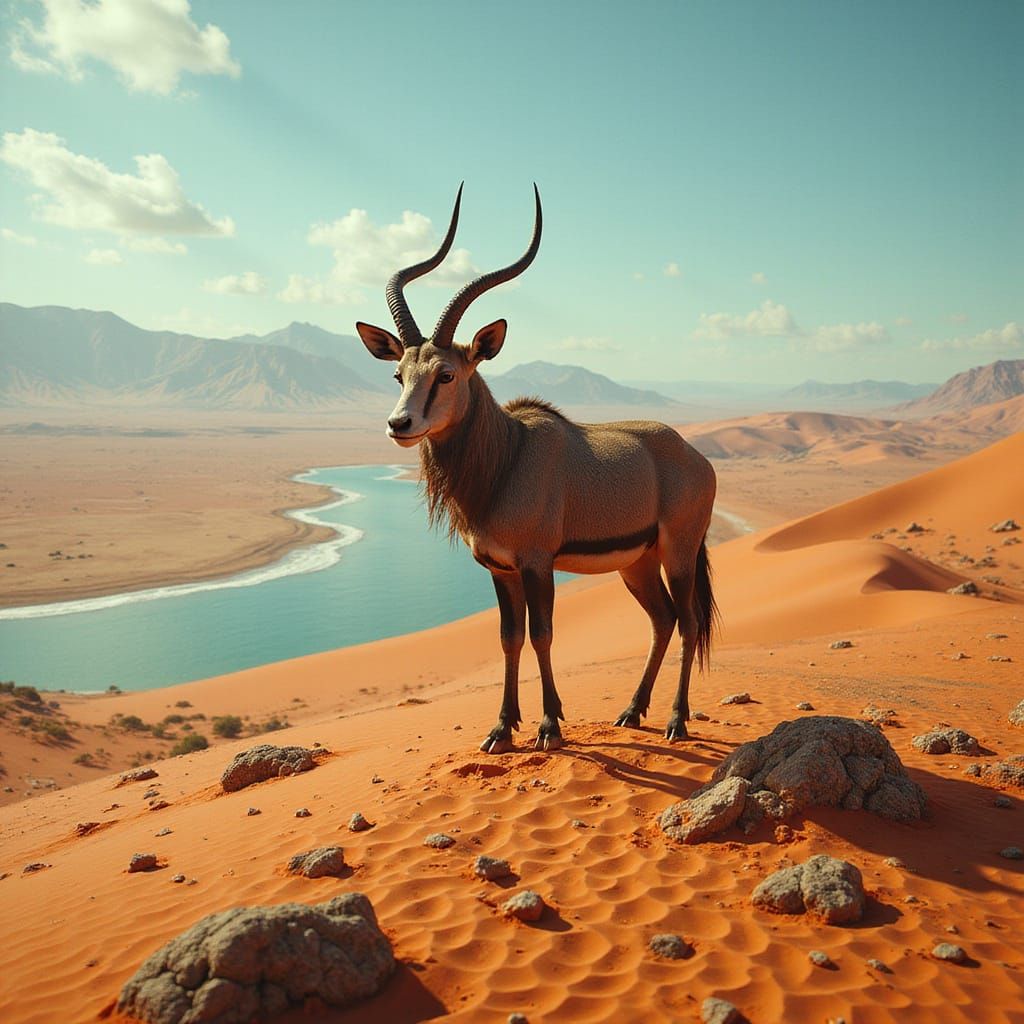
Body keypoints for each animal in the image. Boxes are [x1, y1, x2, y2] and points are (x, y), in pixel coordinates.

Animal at [356, 185, 717, 752]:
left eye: (446, 374)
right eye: (398, 374)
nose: (400, 424)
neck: (507, 457)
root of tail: (697, 459)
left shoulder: (536, 563)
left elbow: (542, 634)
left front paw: (550, 725)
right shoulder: (499, 569)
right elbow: (509, 638)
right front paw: (502, 728)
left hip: (678, 552)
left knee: (687, 620)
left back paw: (677, 720)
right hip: (636, 563)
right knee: (661, 620)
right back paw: (631, 711)